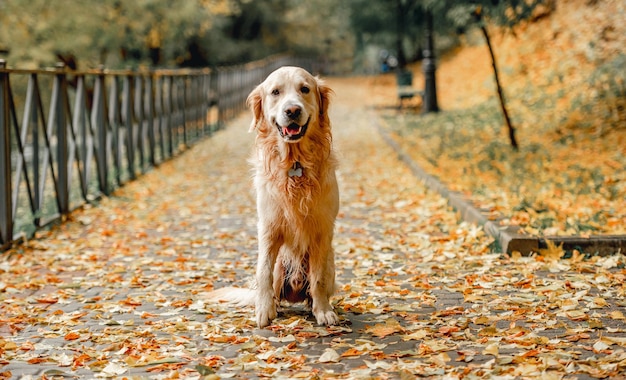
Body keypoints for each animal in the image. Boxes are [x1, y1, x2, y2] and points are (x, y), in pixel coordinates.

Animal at [206, 67, 338, 328]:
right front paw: (264, 310)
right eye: (275, 92)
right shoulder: (268, 227)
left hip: (331, 262)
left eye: (305, 89)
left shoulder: (322, 230)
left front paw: (323, 311)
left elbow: (317, 278)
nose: (292, 110)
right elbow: (263, 271)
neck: (295, 164)